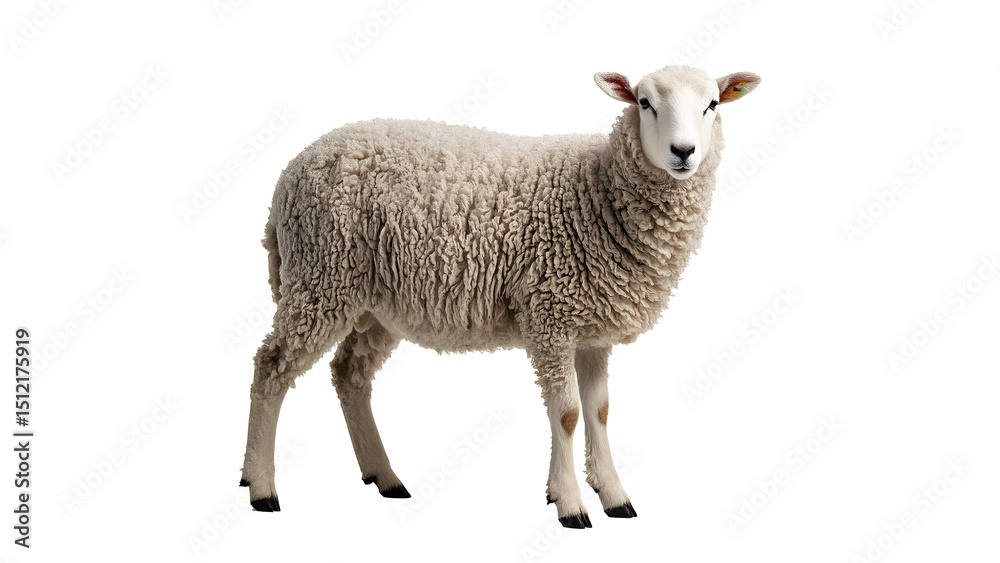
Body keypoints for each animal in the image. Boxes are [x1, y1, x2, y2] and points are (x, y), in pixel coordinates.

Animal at [240, 64, 761, 528]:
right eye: (645, 102)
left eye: (712, 104)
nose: (683, 152)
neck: (598, 193)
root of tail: (289, 174)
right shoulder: (551, 314)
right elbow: (567, 413)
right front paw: (570, 504)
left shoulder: (592, 329)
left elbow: (600, 411)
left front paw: (613, 495)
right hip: (321, 276)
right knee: (271, 366)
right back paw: (261, 485)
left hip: (372, 304)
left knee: (349, 373)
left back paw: (384, 475)